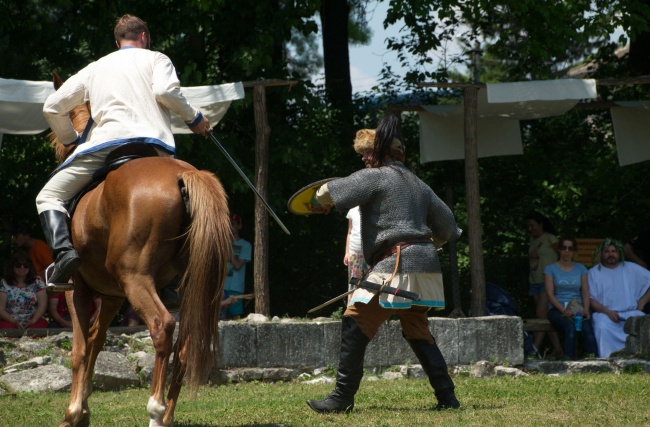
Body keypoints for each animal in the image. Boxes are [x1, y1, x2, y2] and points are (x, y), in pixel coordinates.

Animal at [48, 74, 230, 427]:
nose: (65, 151)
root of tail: (184, 173)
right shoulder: (111, 296)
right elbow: (96, 341)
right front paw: (84, 409)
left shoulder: (75, 289)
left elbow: (79, 349)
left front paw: (73, 412)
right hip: (187, 287)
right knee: (186, 344)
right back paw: (167, 415)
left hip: (137, 280)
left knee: (162, 328)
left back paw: (155, 409)